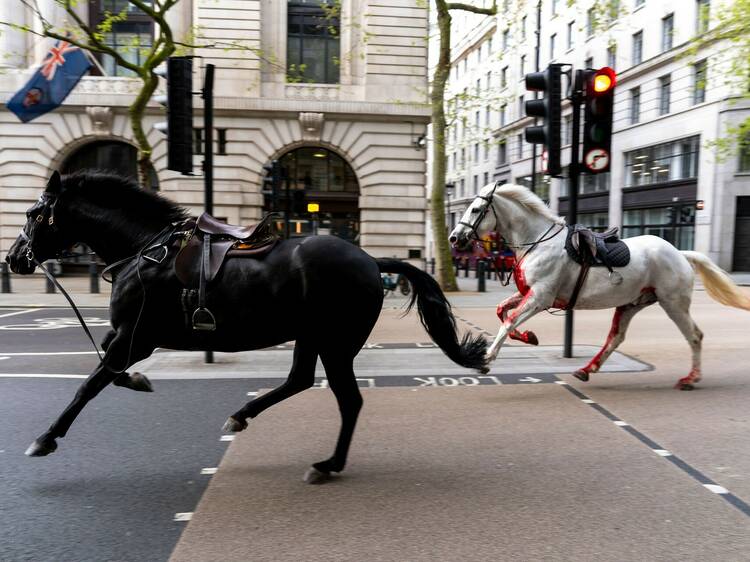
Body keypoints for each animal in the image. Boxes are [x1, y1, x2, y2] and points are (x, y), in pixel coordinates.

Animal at [7, 170, 488, 476]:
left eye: (33, 214)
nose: (13, 258)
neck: (145, 251)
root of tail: (371, 260)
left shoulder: (137, 336)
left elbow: (90, 383)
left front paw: (46, 438)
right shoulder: (128, 336)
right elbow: (109, 367)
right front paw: (140, 380)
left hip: (335, 342)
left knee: (348, 400)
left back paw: (328, 464)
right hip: (312, 337)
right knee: (299, 380)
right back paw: (242, 416)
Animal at [450, 182, 750, 388]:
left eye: (476, 209)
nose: (454, 238)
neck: (538, 241)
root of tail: (680, 253)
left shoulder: (540, 297)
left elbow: (509, 320)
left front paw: (486, 359)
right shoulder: (530, 294)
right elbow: (502, 311)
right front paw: (529, 337)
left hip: (673, 303)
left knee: (695, 336)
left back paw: (691, 378)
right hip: (631, 304)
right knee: (616, 337)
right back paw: (587, 369)